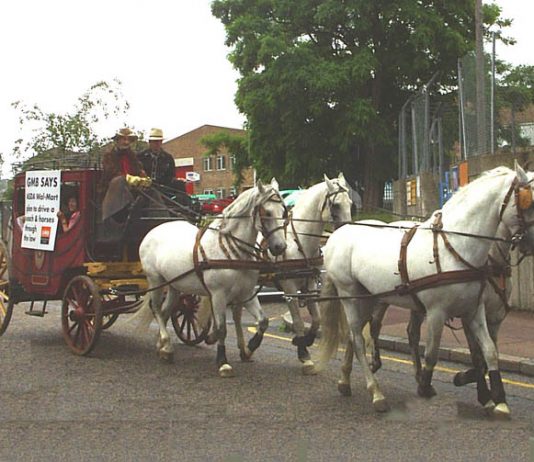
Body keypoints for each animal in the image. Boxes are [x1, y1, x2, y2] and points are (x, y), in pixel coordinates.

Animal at [136, 179, 292, 378]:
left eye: (284, 211)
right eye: (267, 212)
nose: (280, 247)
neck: (232, 252)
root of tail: (154, 230)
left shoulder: (246, 293)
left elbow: (263, 321)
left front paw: (248, 348)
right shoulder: (218, 295)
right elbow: (222, 328)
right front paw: (223, 362)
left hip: (174, 285)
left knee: (164, 312)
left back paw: (163, 346)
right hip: (156, 280)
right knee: (155, 308)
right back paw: (166, 345)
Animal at [232, 172, 354, 372]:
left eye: (350, 203)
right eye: (335, 204)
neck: (298, 242)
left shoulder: (309, 283)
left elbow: (317, 319)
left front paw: (305, 340)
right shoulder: (289, 287)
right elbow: (297, 320)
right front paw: (304, 354)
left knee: (236, 313)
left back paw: (244, 348)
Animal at [320, 164, 534, 416]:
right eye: (528, 201)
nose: (530, 244)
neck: (455, 246)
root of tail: (337, 235)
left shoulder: (475, 310)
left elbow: (489, 351)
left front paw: (498, 399)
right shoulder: (436, 312)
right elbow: (432, 353)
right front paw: (425, 385)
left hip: (370, 297)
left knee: (359, 335)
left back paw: (345, 380)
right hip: (350, 296)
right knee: (358, 338)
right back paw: (376, 392)